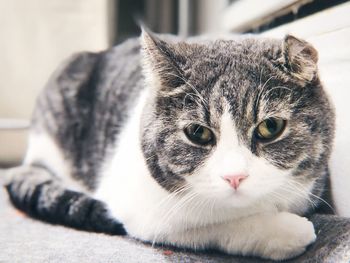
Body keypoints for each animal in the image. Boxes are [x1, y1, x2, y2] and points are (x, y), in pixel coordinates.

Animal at [4, 29, 334, 260]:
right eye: (198, 133)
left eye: (270, 127)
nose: (234, 177)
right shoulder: (143, 208)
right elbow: (211, 223)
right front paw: (287, 232)